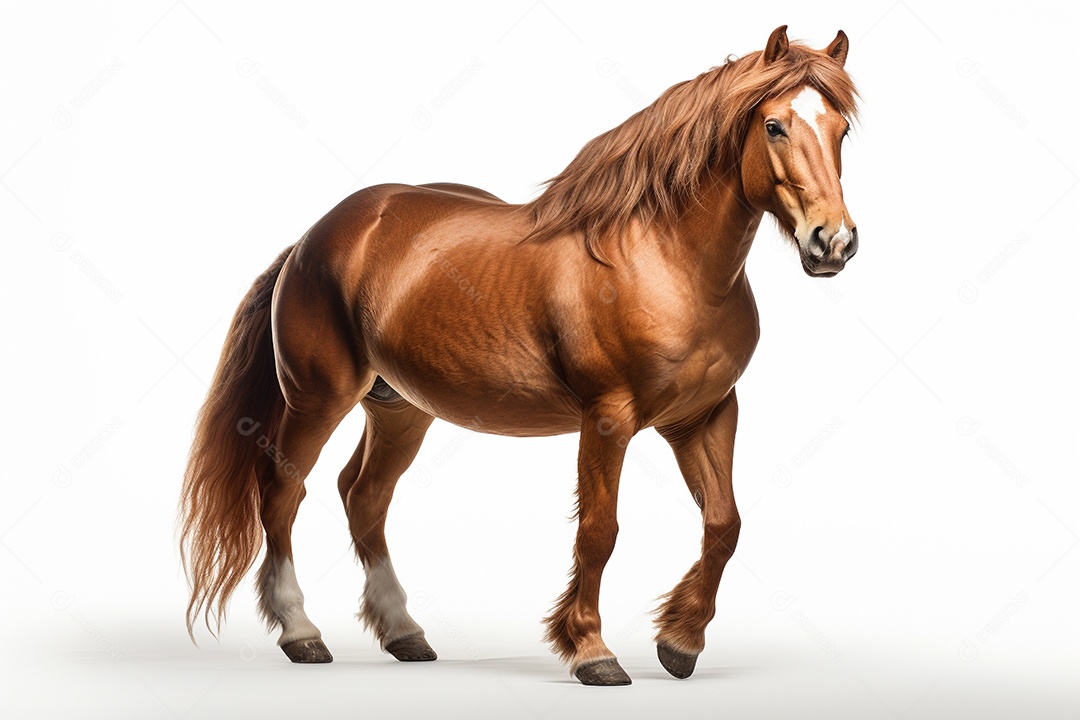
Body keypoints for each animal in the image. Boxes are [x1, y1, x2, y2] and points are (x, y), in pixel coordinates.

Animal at [179, 25, 859, 686]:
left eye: (842, 129)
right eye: (773, 125)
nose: (833, 242)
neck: (665, 262)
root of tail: (313, 238)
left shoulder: (705, 416)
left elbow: (724, 526)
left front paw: (679, 643)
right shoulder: (607, 419)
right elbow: (598, 533)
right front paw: (591, 651)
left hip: (400, 409)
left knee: (363, 497)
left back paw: (404, 632)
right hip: (318, 399)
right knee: (281, 492)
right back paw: (301, 633)